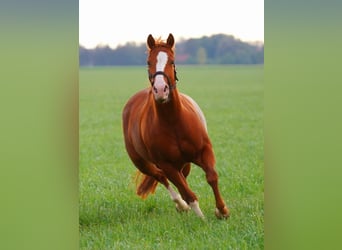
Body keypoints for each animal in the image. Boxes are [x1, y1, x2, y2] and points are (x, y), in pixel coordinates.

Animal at [123, 33, 230, 219]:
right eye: (148, 62)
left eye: (172, 61)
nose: (160, 90)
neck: (172, 121)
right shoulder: (167, 164)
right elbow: (188, 194)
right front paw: (202, 219)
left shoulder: (204, 151)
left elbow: (212, 177)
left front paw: (222, 211)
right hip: (141, 162)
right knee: (161, 177)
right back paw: (180, 205)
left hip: (184, 163)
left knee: (180, 178)